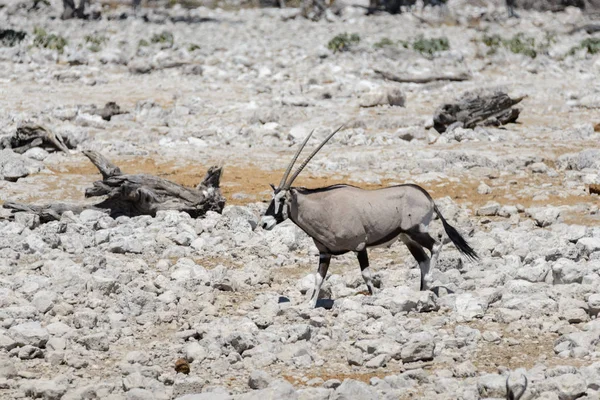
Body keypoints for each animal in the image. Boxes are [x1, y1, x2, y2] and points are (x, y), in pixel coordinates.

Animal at [262, 126, 478, 308]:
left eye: (282, 199)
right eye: (272, 197)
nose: (264, 223)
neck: (324, 207)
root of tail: (428, 197)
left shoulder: (360, 247)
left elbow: (366, 275)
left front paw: (374, 298)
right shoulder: (325, 253)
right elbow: (318, 278)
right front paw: (310, 305)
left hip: (415, 230)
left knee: (435, 246)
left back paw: (430, 281)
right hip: (407, 238)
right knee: (423, 259)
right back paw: (422, 292)